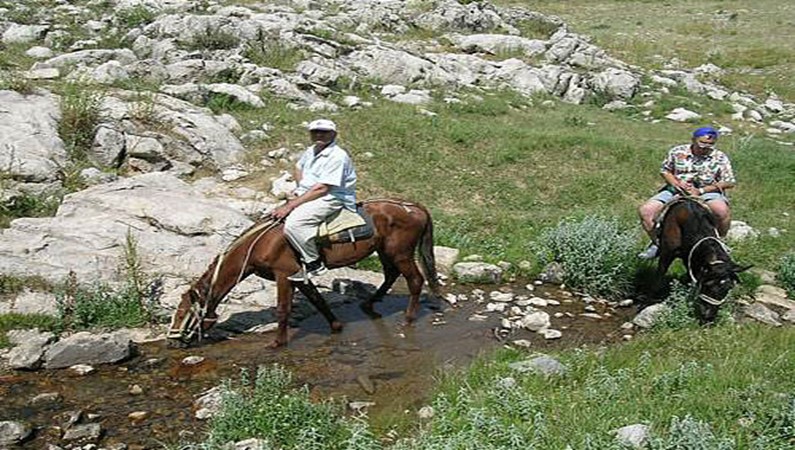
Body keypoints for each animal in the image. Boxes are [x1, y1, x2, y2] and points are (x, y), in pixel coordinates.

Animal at [168, 200, 442, 348]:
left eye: (182, 314)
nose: (172, 341)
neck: (260, 242)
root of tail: (413, 207)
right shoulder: (298, 276)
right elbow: (317, 300)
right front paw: (336, 325)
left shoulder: (284, 274)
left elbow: (283, 309)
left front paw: (278, 343)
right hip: (385, 251)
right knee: (390, 276)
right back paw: (369, 304)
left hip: (401, 253)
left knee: (415, 280)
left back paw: (408, 318)